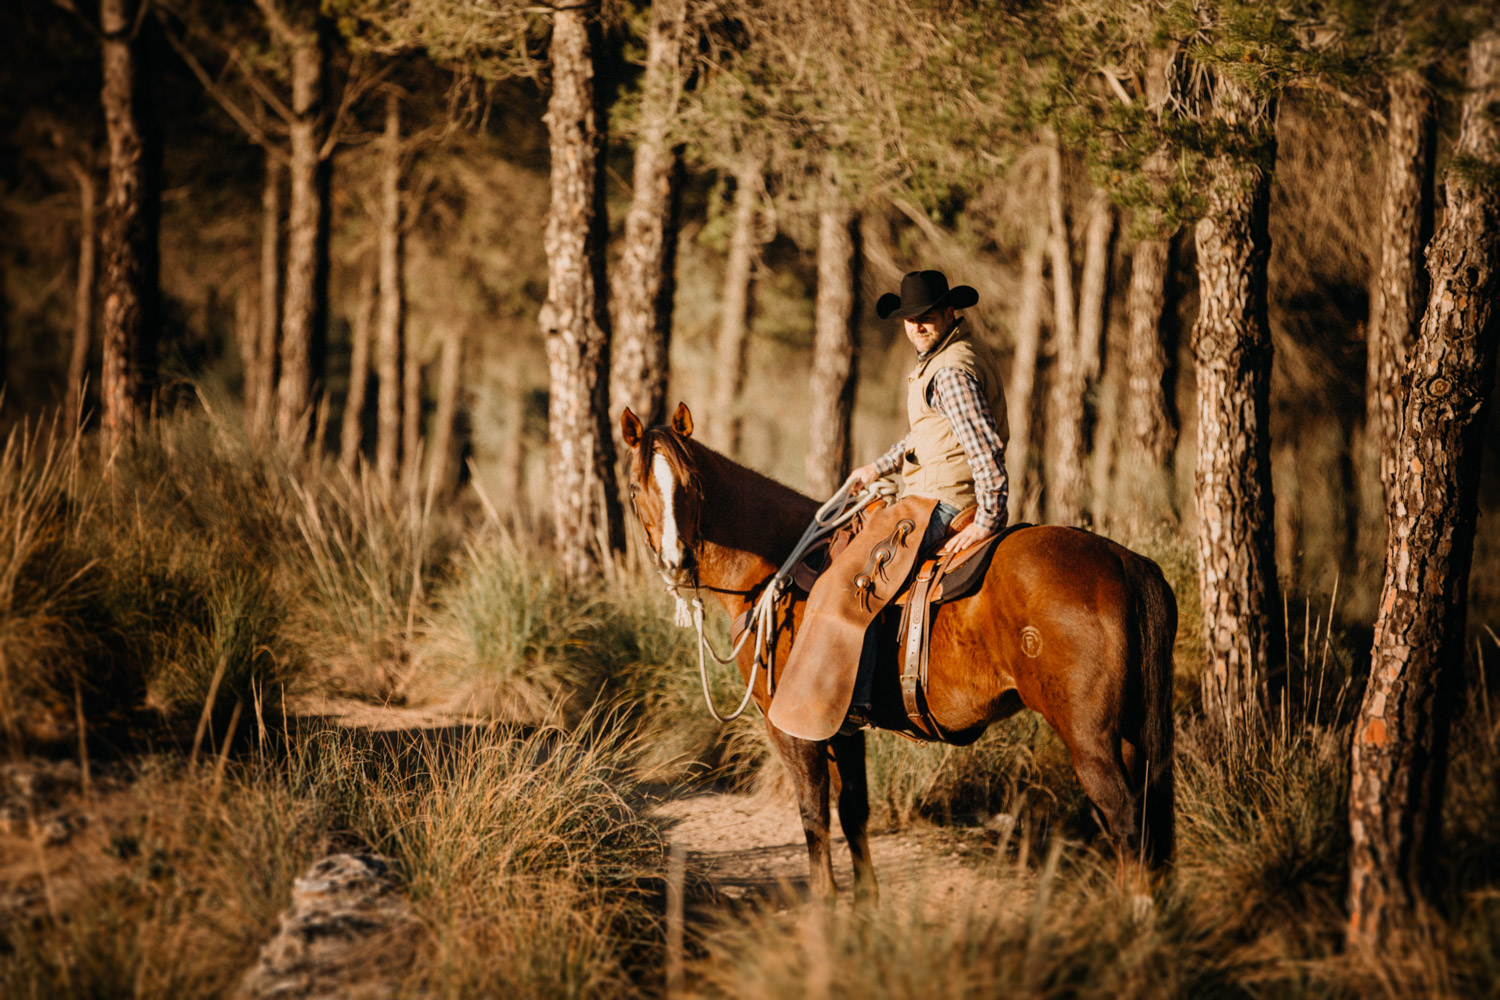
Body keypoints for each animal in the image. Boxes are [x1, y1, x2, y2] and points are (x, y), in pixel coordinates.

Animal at [618, 401, 1170, 905]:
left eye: (692, 484)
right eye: (636, 489)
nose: (676, 560)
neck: (777, 569)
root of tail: (1124, 560)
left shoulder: (792, 726)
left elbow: (814, 815)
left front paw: (825, 904)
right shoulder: (842, 726)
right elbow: (853, 812)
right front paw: (866, 903)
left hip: (1090, 739)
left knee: (1126, 820)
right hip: (1132, 736)